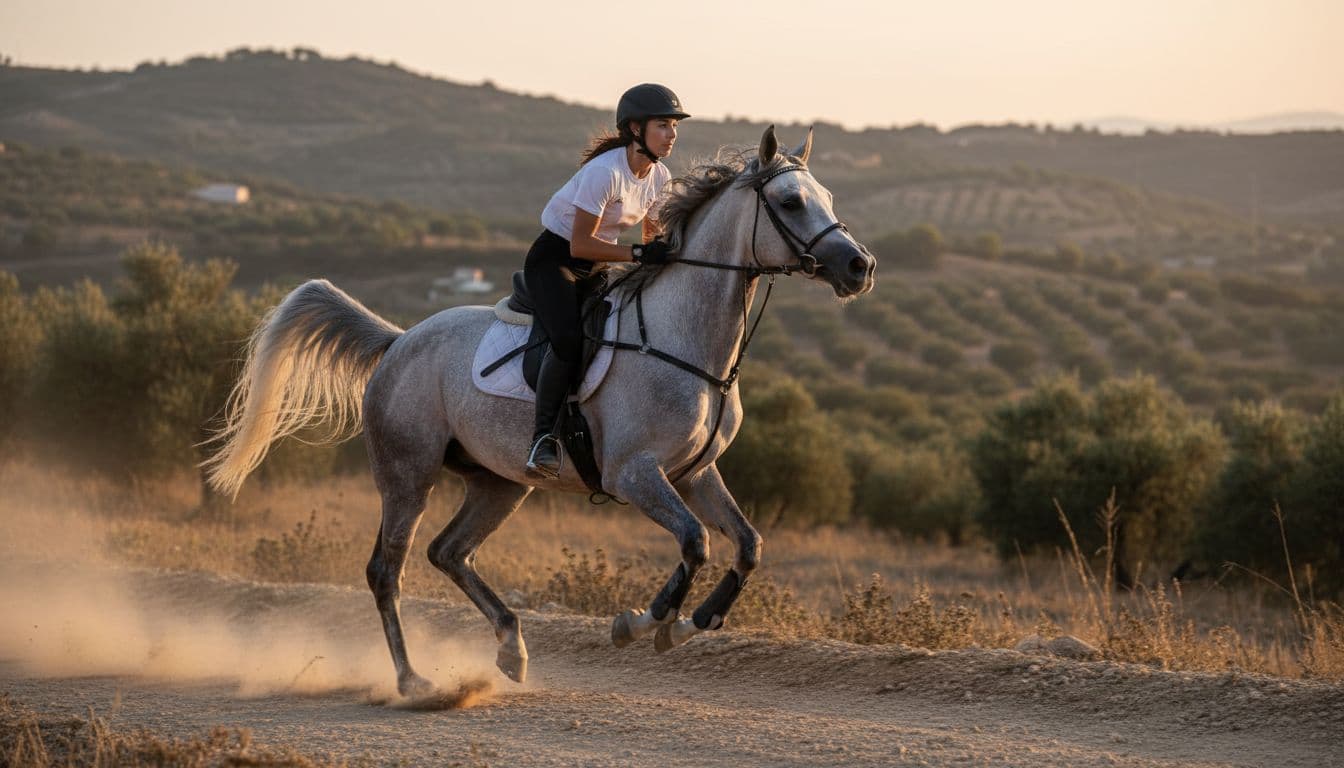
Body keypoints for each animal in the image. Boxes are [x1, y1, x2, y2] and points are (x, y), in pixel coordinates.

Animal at [204, 125, 876, 696]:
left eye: (827, 196)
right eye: (790, 202)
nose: (860, 267)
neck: (685, 339)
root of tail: (398, 342)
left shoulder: (695, 473)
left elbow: (747, 544)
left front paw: (691, 624)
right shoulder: (634, 474)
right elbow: (695, 541)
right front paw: (640, 623)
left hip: (499, 483)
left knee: (448, 552)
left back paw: (511, 648)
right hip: (407, 474)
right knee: (386, 569)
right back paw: (413, 682)